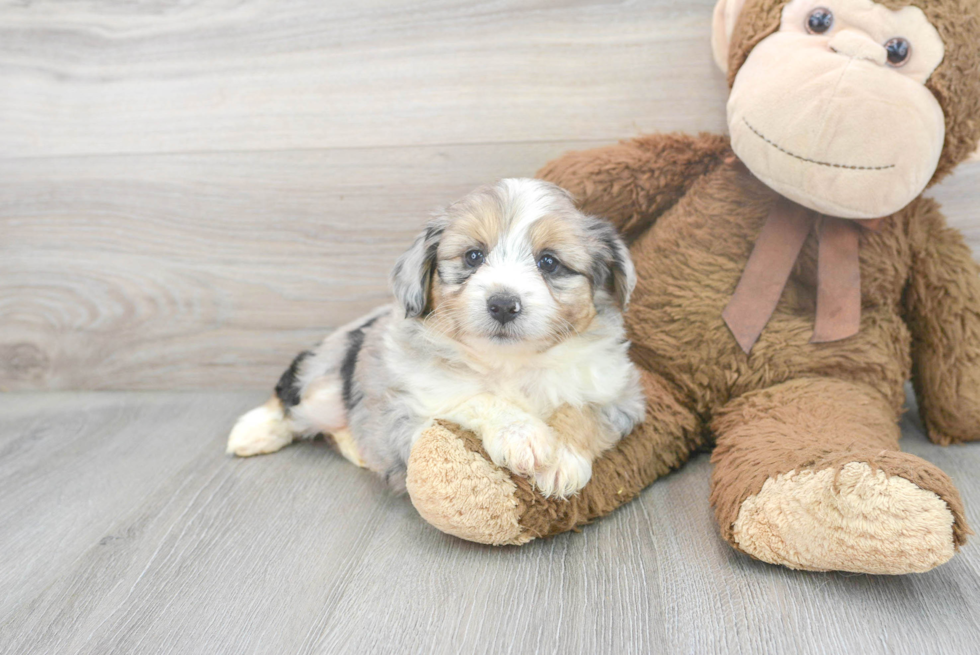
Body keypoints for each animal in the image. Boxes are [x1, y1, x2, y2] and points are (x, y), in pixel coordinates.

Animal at [226, 179, 648, 498]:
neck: (510, 363)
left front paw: (562, 458)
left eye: (549, 262)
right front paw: (523, 435)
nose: (503, 304)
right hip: (325, 385)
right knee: (290, 400)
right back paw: (253, 431)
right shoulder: (409, 414)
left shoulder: (622, 395)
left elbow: (583, 412)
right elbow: (475, 397)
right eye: (474, 256)